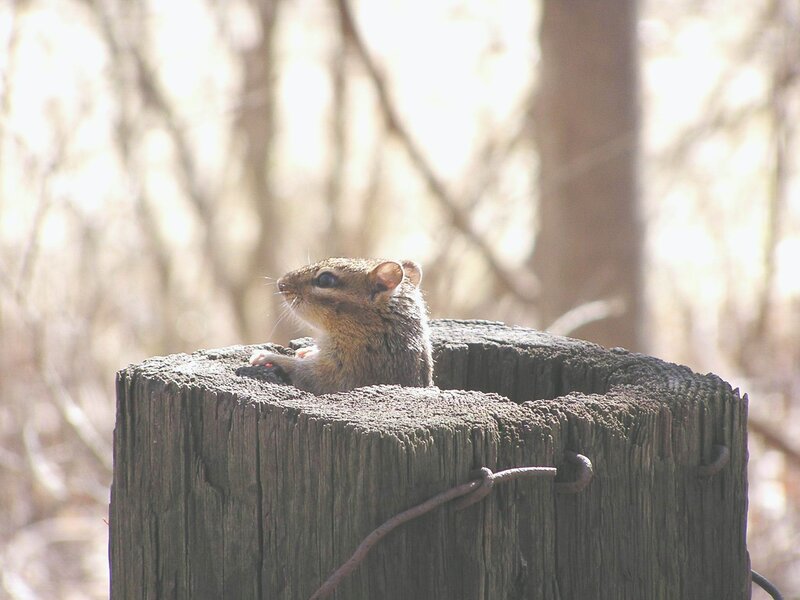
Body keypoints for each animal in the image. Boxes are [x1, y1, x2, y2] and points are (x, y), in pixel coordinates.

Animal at [249, 258, 433, 395]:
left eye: (325, 279)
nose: (281, 283)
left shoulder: (343, 370)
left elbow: (301, 372)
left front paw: (267, 356)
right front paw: (308, 351)